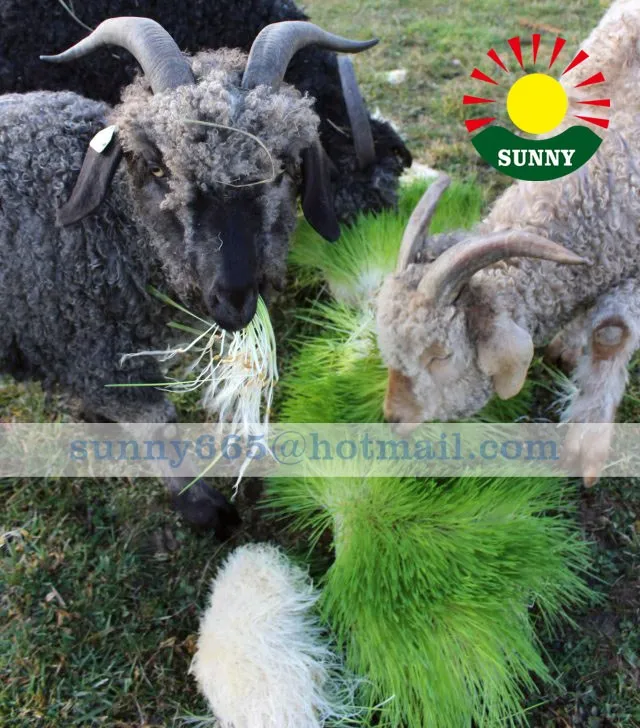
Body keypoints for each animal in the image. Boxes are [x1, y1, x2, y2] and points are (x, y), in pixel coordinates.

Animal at [0, 16, 376, 534]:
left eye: (282, 166)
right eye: (158, 167)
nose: (235, 303)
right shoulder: (91, 344)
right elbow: (156, 419)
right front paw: (200, 504)